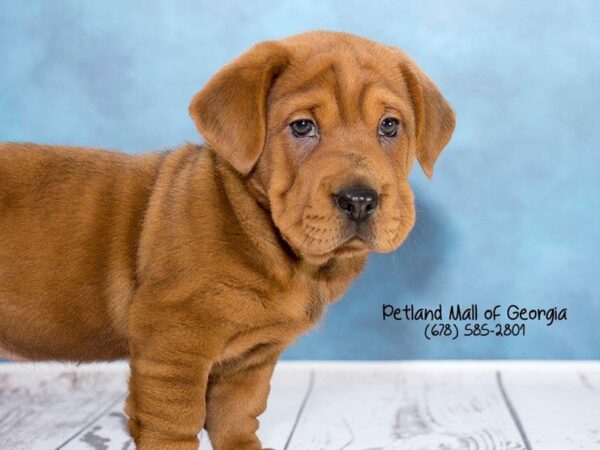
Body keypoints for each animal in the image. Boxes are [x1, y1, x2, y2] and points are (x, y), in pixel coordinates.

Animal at [0, 29, 452, 448]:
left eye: (389, 126)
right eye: (302, 126)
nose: (359, 199)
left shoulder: (251, 359)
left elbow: (236, 415)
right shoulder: (172, 344)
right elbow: (174, 422)